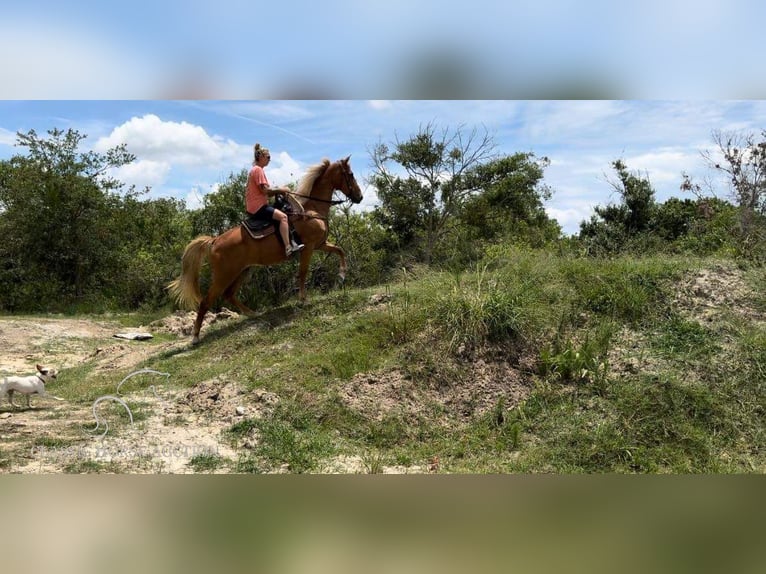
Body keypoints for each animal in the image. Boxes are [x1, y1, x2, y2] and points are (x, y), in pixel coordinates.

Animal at [166, 156, 364, 346]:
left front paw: (341, 275)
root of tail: (214, 241)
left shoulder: (320, 244)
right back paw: (195, 337)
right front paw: (303, 299)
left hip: (243, 271)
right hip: (224, 275)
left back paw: (253, 314)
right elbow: (303, 272)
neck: (311, 210)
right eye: (351, 174)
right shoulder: (308, 248)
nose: (360, 197)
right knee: (206, 301)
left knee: (229, 295)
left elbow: (340, 251)